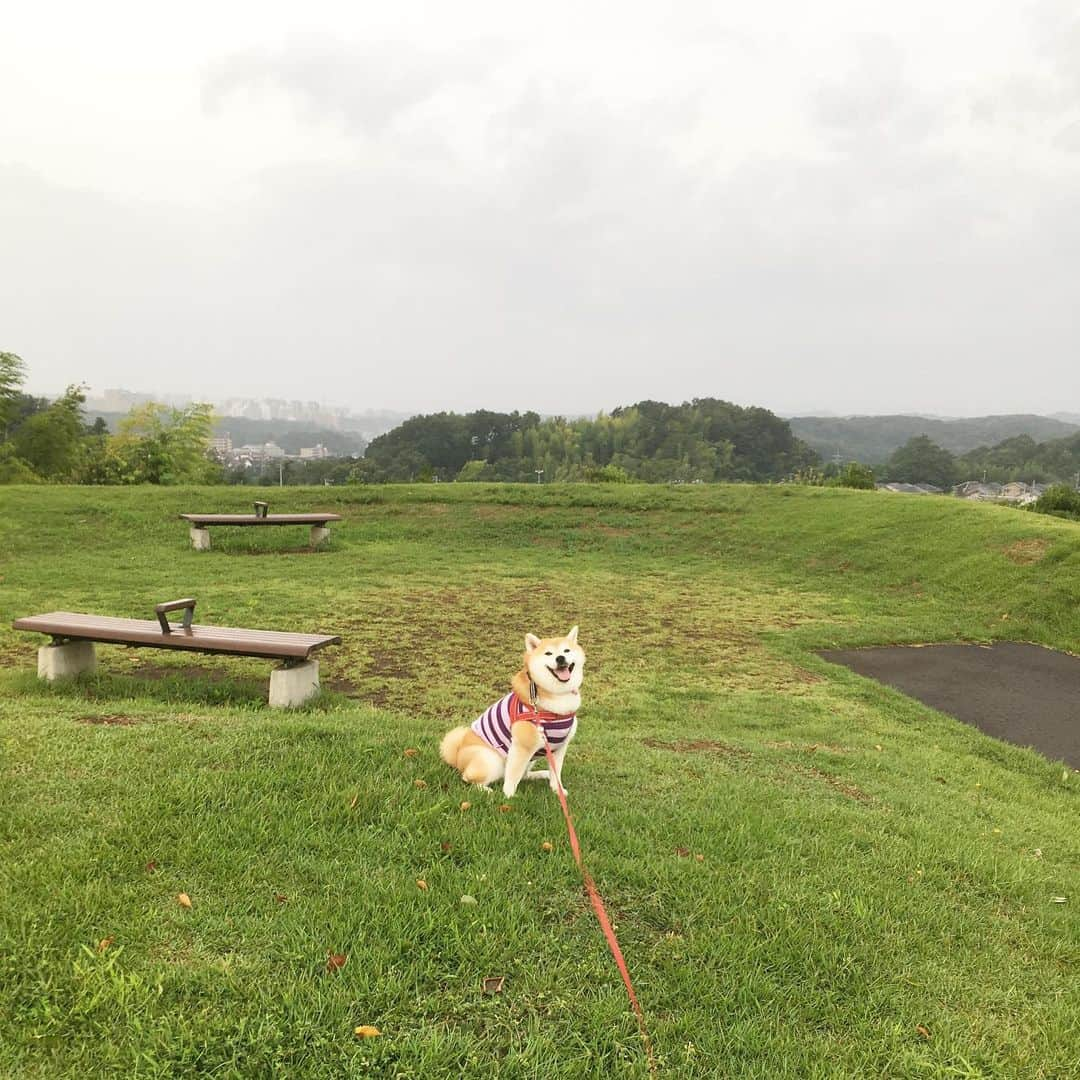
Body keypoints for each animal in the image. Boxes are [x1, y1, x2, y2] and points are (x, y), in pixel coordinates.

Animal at [438, 630, 587, 799]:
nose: (560, 658)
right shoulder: (522, 747)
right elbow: (512, 776)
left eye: (566, 651)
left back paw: (541, 774)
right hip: (491, 759)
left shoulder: (559, 748)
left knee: (525, 775)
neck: (556, 695)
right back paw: (487, 790)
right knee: (468, 778)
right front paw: (508, 796)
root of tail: (456, 757)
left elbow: (556, 775)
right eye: (548, 653)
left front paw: (557, 791)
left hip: (529, 759)